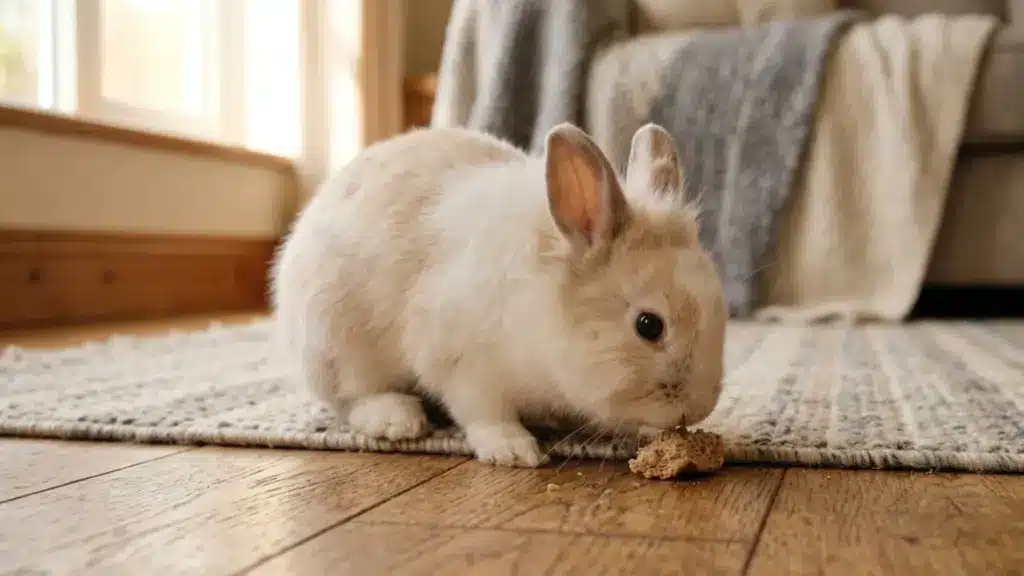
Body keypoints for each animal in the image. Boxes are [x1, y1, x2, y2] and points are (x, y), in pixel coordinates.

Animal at [271, 122, 727, 468]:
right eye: (648, 325)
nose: (698, 408)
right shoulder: (462, 363)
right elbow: (483, 411)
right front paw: (514, 450)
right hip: (335, 338)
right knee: (352, 397)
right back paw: (398, 420)